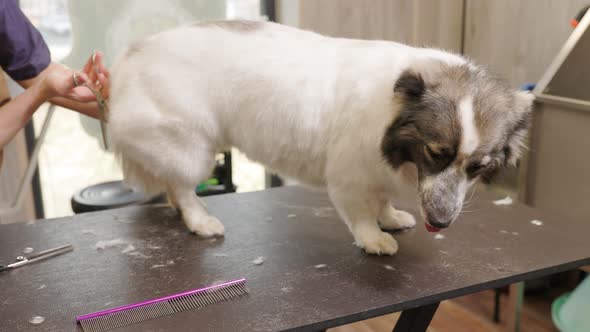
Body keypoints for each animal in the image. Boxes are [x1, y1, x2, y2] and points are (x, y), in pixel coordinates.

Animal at [107, 20, 536, 254]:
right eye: (435, 152)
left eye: (478, 166)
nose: (441, 222)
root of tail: (130, 54)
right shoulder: (349, 177)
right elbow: (361, 214)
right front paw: (374, 238)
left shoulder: (379, 173)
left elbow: (382, 201)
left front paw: (391, 217)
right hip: (191, 149)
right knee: (180, 187)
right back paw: (200, 220)